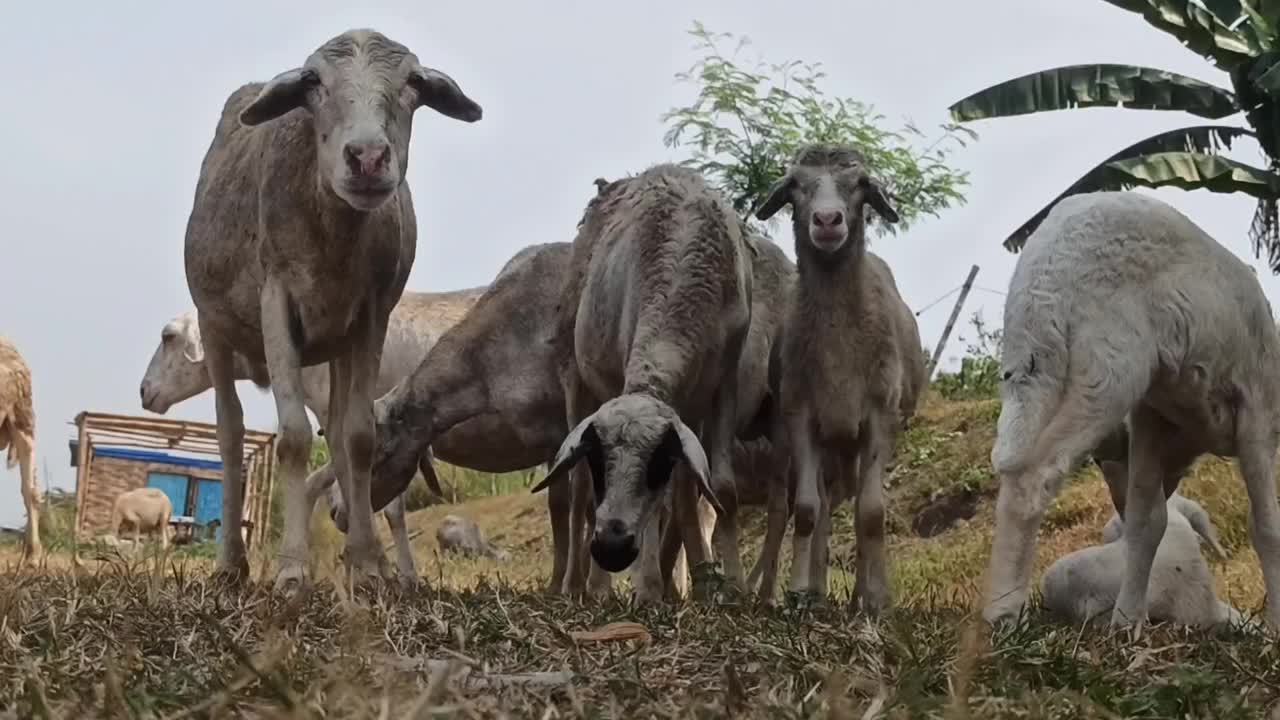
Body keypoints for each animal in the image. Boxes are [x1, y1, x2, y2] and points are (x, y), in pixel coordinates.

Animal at [527, 162, 752, 599]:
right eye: (600, 458)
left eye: (658, 462)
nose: (611, 547)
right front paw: (645, 588)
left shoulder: (724, 383)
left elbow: (717, 488)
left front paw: (723, 584)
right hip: (576, 377)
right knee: (578, 493)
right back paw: (582, 585)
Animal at [752, 146, 926, 609]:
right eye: (795, 184)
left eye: (861, 183)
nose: (828, 220)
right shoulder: (801, 417)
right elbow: (808, 511)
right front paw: (798, 592)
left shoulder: (880, 416)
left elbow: (872, 513)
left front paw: (877, 599)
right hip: (831, 443)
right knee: (826, 509)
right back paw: (818, 591)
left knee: (862, 507)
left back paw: (861, 595)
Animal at [977, 189, 1280, 627]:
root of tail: (1047, 264)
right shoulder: (1255, 407)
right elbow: (1266, 528)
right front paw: (1276, 622)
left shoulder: (1152, 417)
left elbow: (1146, 523)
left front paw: (1127, 619)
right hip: (1108, 367)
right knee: (1034, 476)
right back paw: (1004, 611)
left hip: (1033, 372)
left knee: (1012, 465)